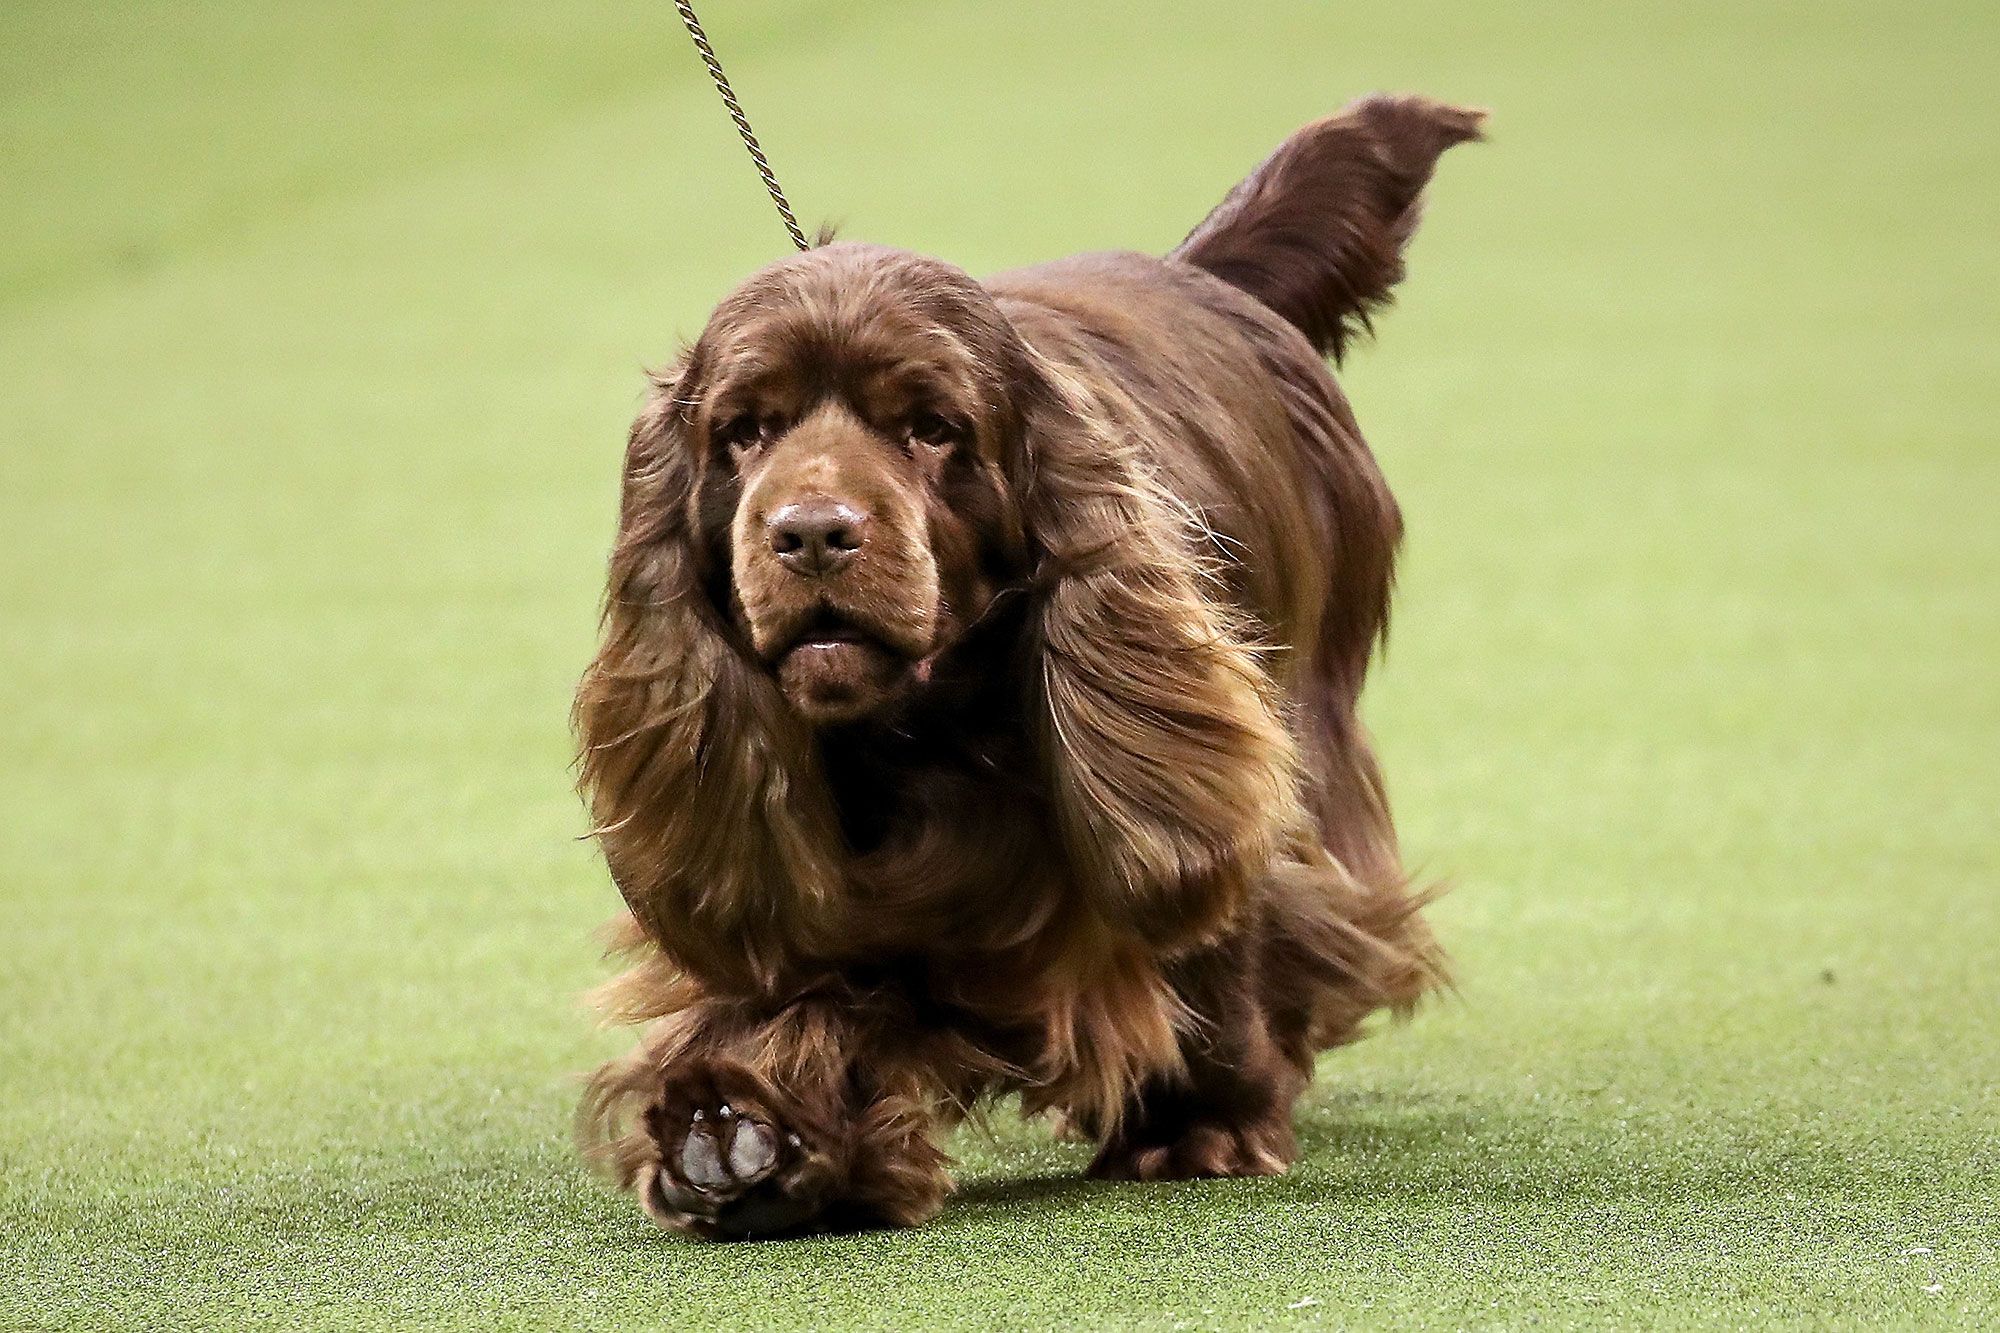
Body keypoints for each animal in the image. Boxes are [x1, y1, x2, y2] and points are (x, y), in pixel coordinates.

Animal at [572, 93, 1480, 1232]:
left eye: (930, 427)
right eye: (743, 430)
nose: (812, 532)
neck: (919, 738)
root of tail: (1200, 274)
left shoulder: (1194, 774)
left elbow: (1215, 927)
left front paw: (1202, 1122)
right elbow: (809, 977)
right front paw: (739, 1124)